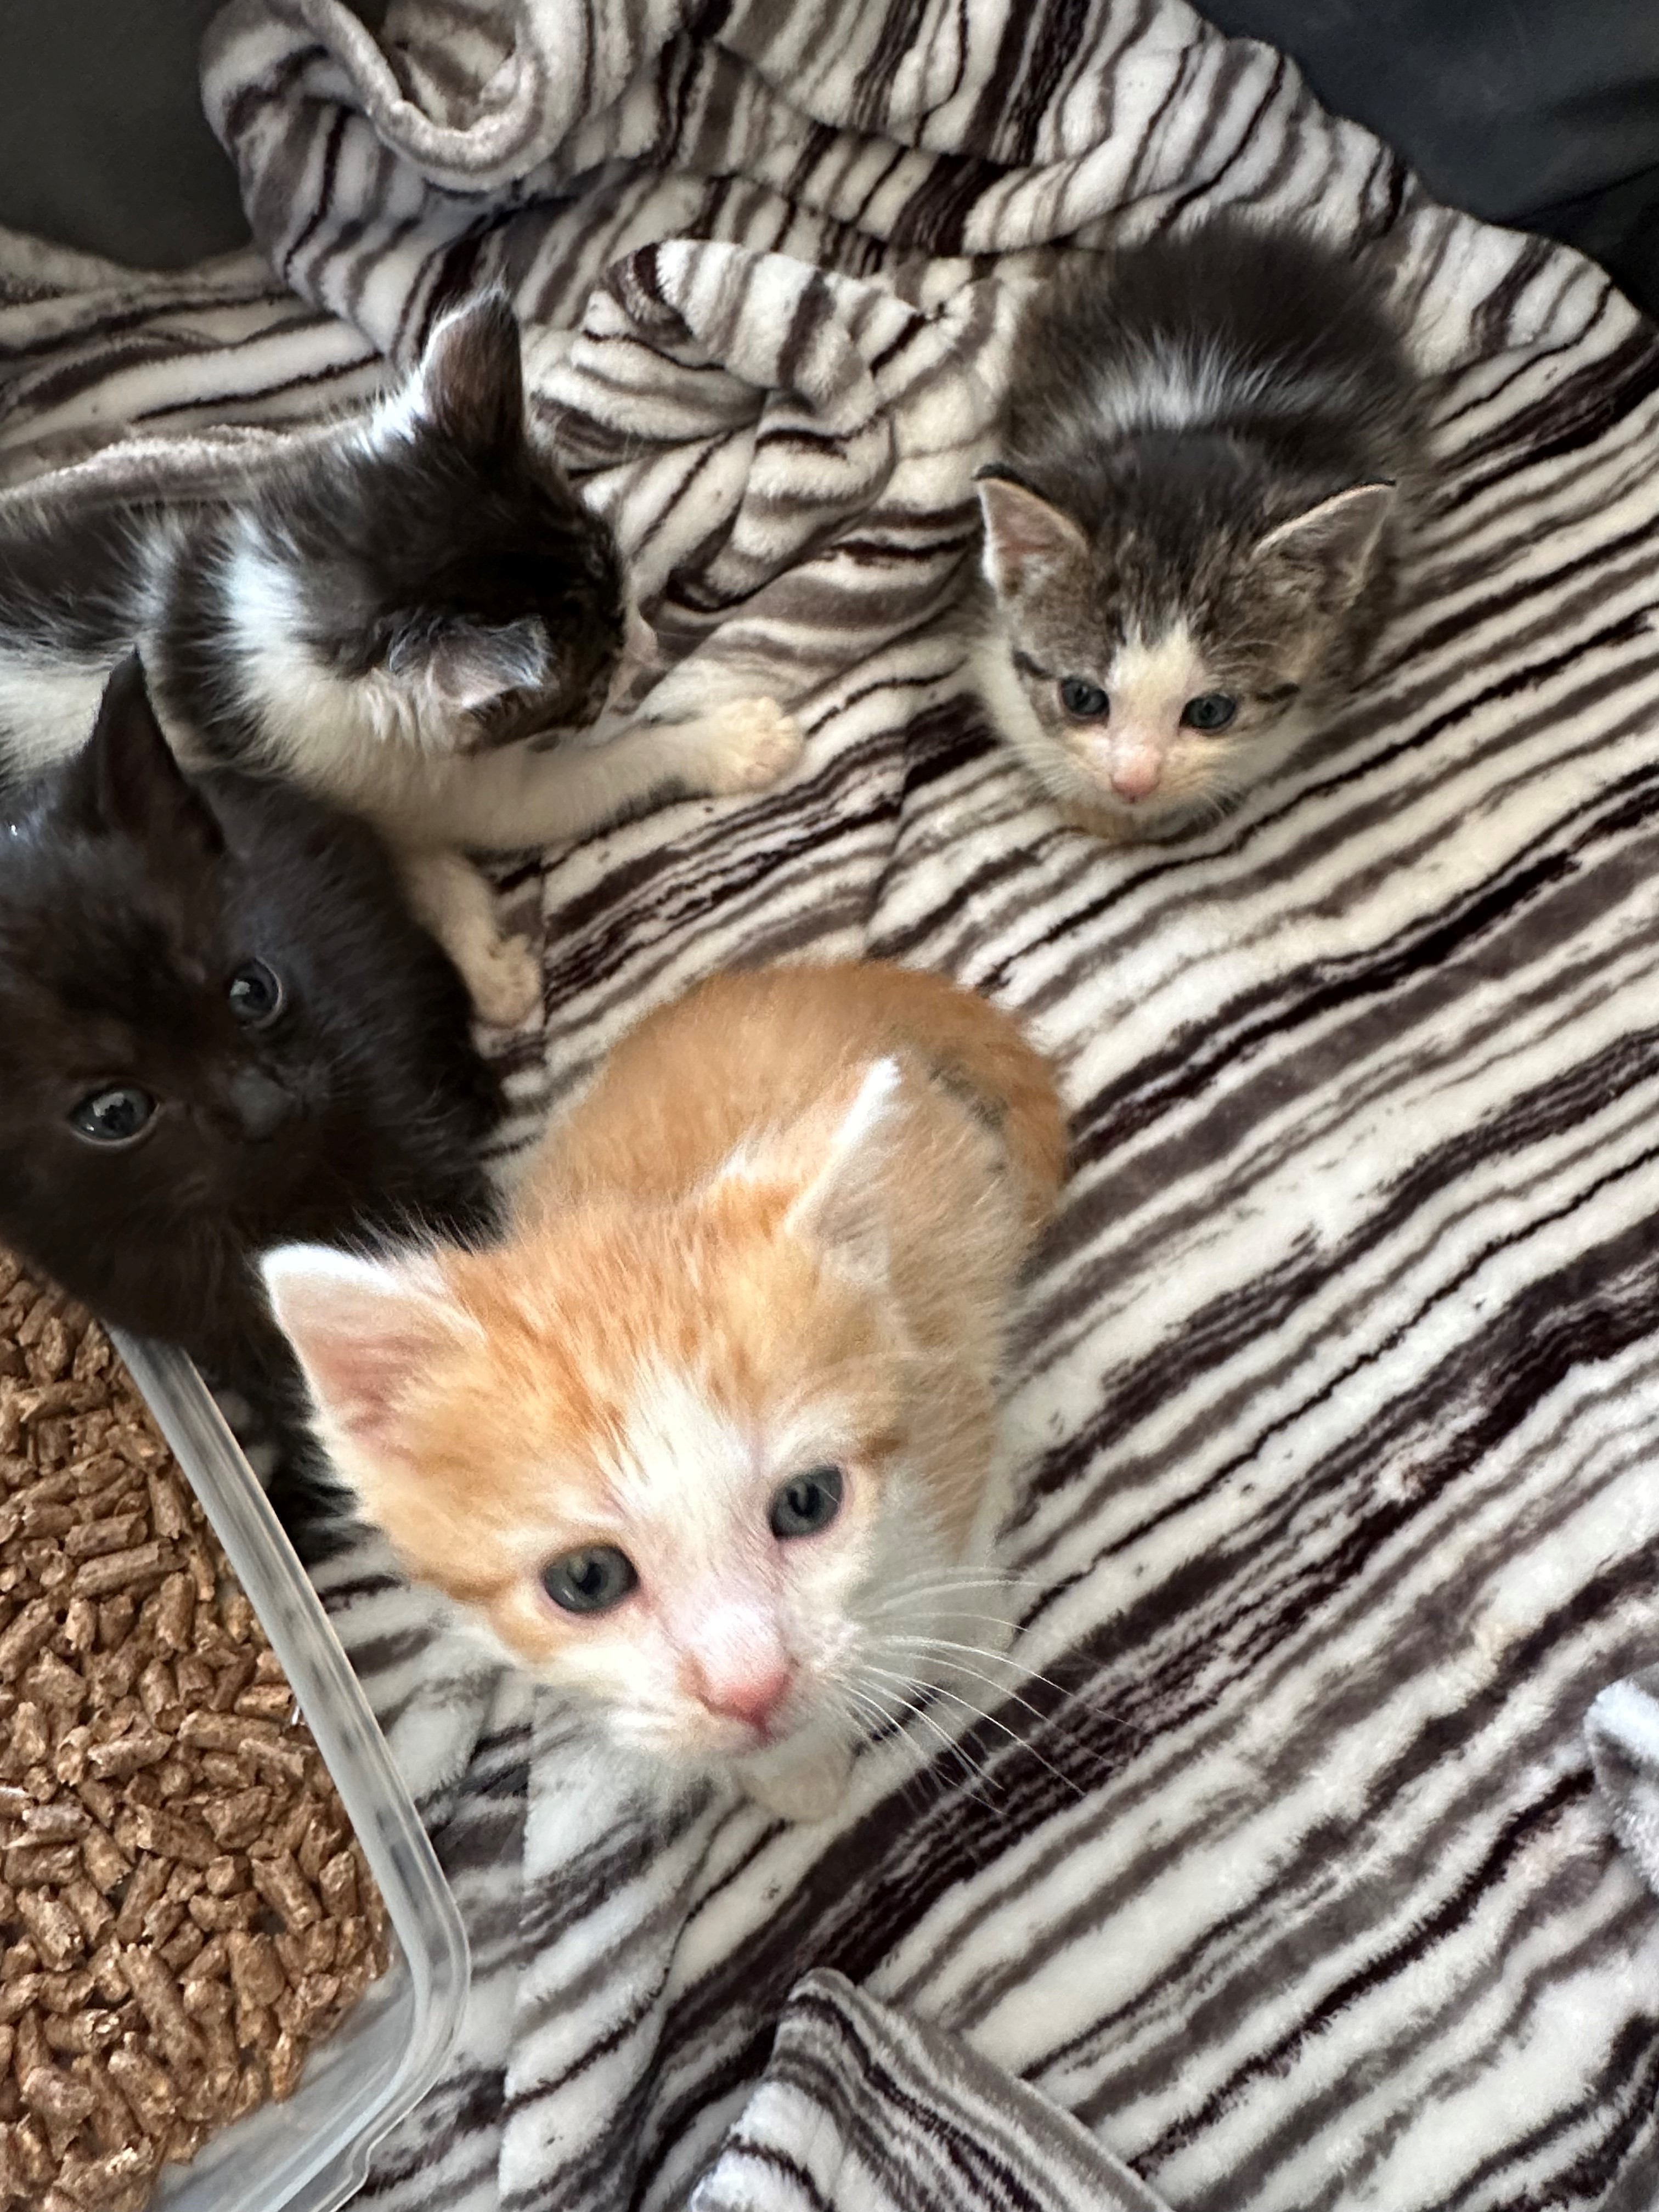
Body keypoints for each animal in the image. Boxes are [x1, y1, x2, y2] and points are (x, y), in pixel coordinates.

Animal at [0, 290, 805, 1022]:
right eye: (593, 684)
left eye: (623, 581)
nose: (648, 643)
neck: (264, 627)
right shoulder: (384, 779)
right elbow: (566, 793)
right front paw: (739, 742)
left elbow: (431, 871)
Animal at [259, 960, 1066, 1822]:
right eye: (587, 1579)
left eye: (808, 1502)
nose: (751, 1687)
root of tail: (785, 982)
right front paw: (798, 1775)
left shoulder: (946, 1389)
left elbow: (963, 1549)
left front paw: (975, 1641)